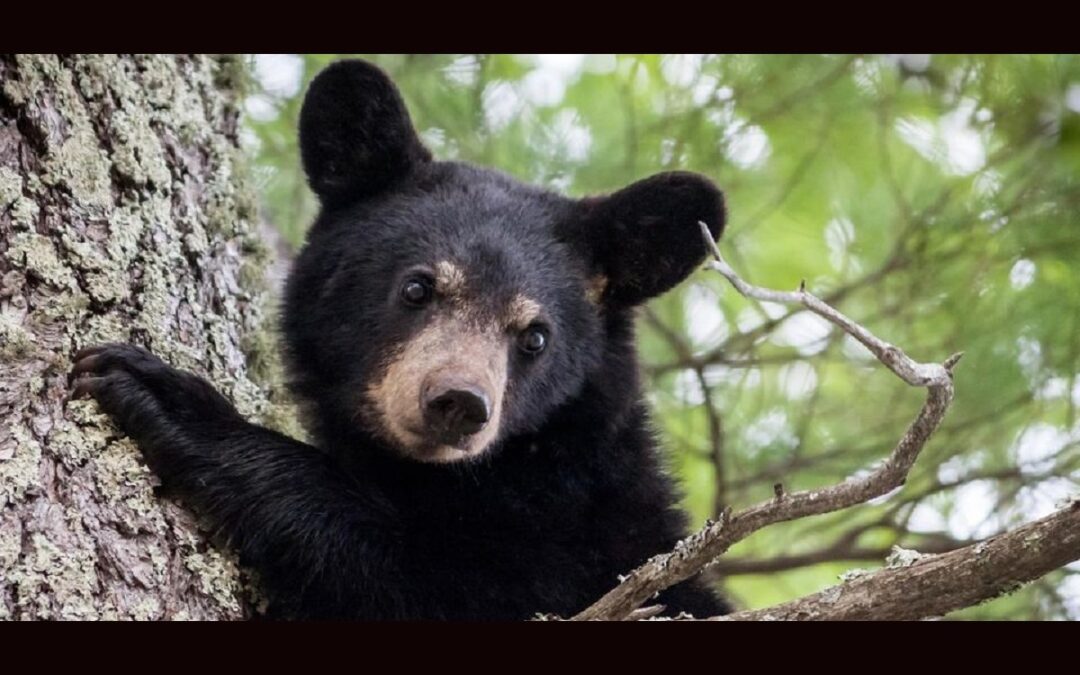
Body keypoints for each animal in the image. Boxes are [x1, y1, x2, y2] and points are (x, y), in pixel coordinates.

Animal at [69, 59, 729, 620]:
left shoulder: (573, 567)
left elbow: (423, 580)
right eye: (417, 288)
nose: (459, 402)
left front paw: (172, 401)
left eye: (536, 337)